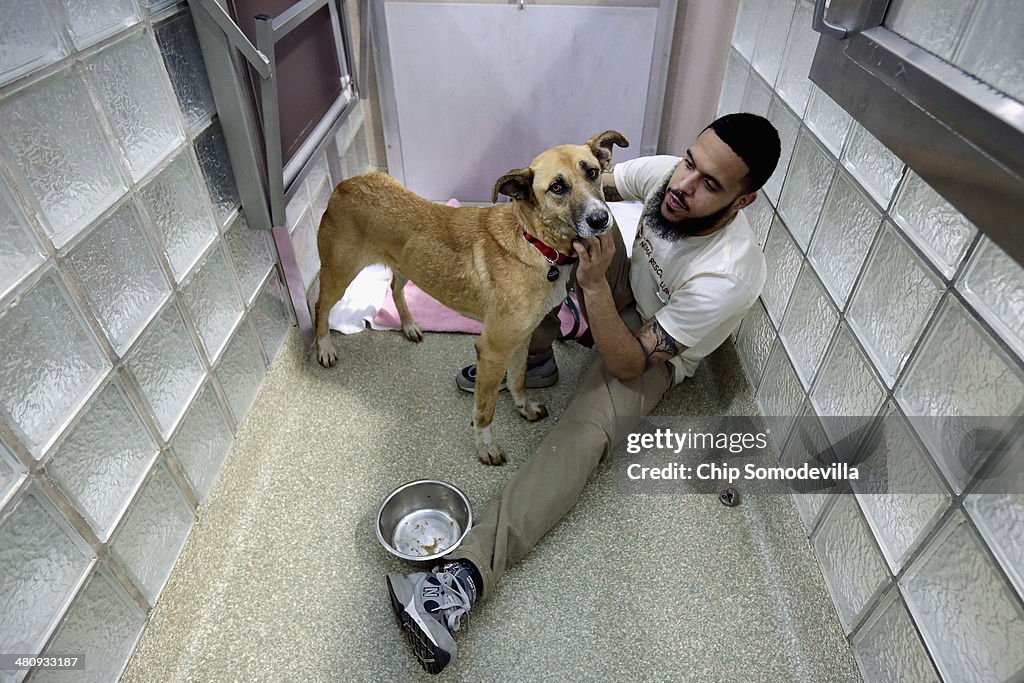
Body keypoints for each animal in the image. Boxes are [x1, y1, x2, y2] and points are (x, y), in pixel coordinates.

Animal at [315, 131, 626, 464]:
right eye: (557, 187)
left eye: (592, 172)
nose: (600, 219)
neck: (536, 244)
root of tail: (345, 184)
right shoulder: (492, 349)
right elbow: (485, 409)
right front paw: (485, 447)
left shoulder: (521, 337)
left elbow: (517, 379)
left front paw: (525, 408)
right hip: (339, 274)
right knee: (321, 305)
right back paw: (325, 348)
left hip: (408, 264)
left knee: (395, 288)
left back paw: (409, 325)